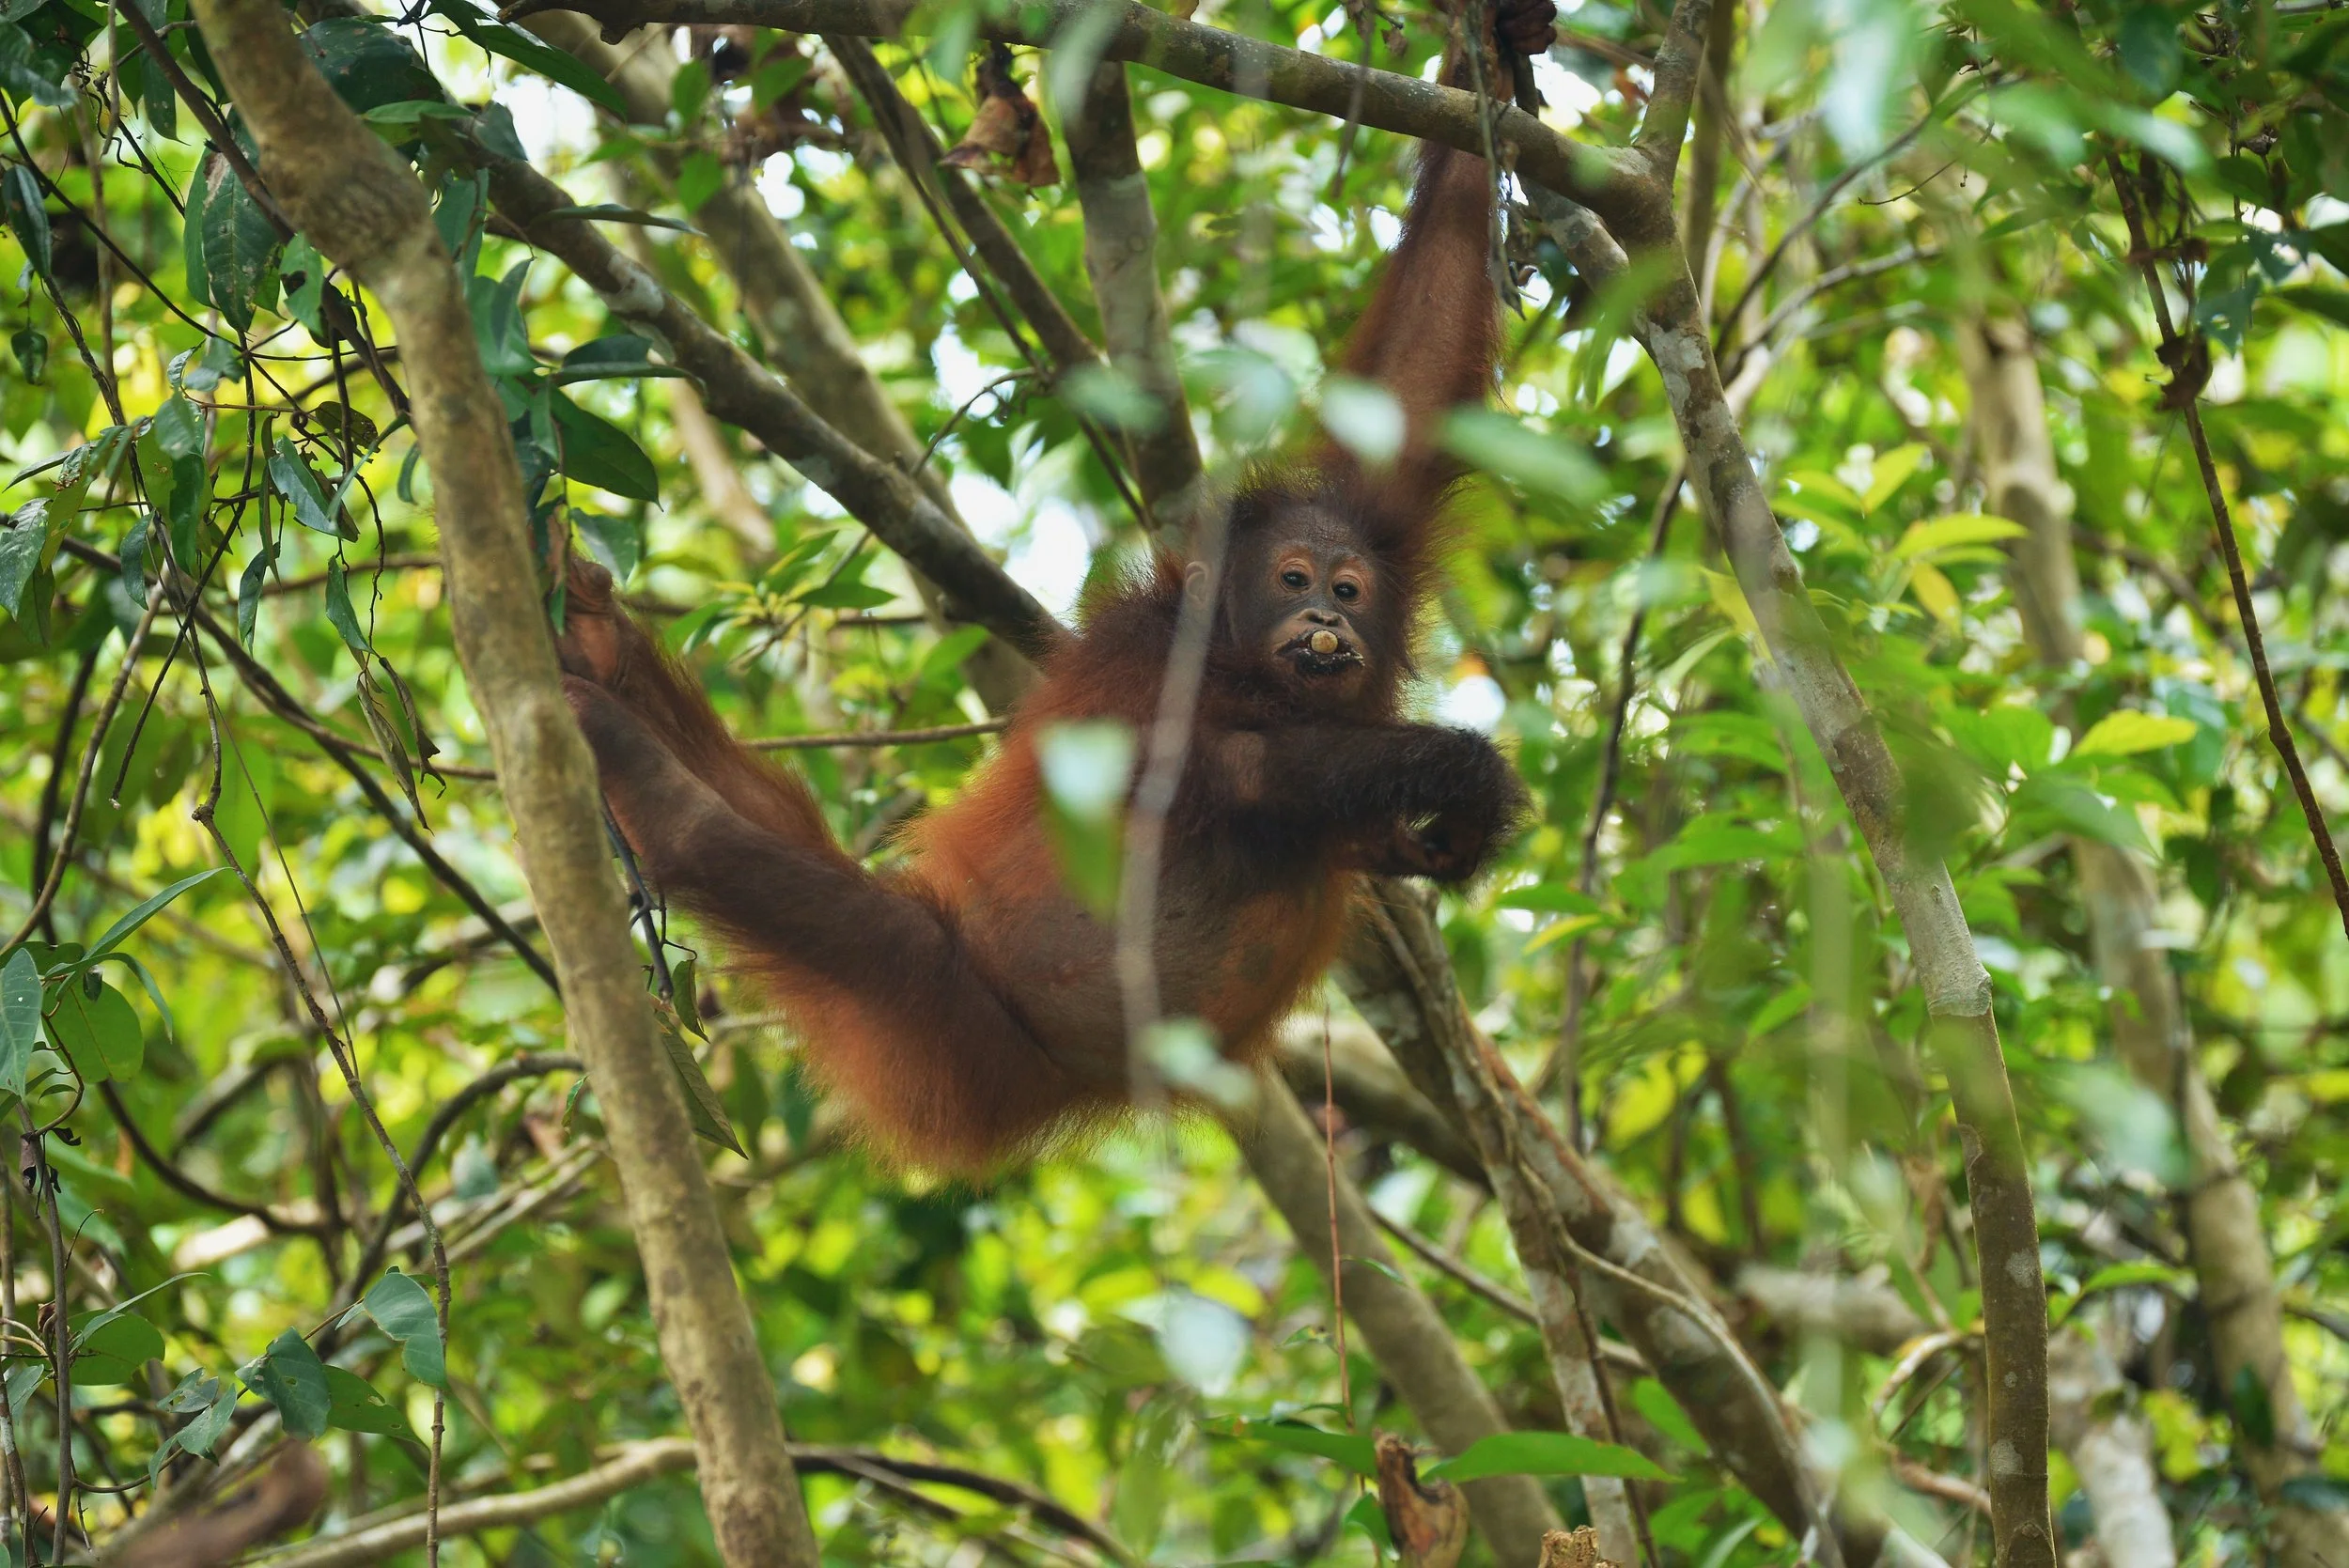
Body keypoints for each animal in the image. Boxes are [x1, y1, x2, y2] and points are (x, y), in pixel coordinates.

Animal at [556, 2, 1553, 1174]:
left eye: (1348, 590)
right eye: (1292, 578)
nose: (1319, 618)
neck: (1237, 661)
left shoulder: (1374, 513)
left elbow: (1416, 368)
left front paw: (1488, 50)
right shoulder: (1149, 661)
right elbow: (1208, 771)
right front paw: (1462, 771)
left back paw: (603, 659)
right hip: (942, 1007)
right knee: (801, 891)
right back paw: (658, 798)